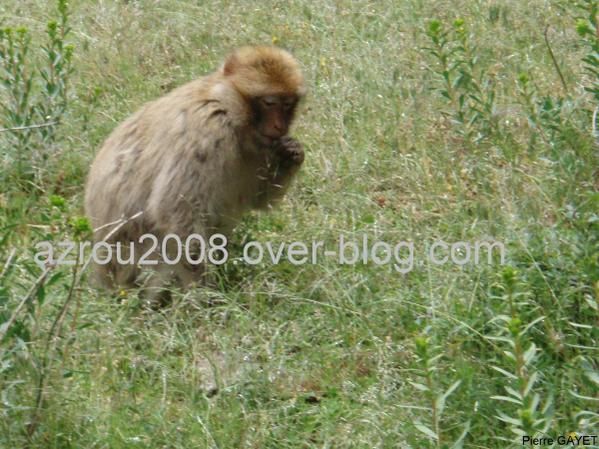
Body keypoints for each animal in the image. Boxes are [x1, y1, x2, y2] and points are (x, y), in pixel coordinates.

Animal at [85, 46, 304, 298]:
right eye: (269, 103)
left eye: (287, 104)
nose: (280, 126)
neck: (228, 108)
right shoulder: (207, 132)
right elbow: (177, 212)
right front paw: (205, 293)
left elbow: (257, 199)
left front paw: (291, 153)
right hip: (129, 267)